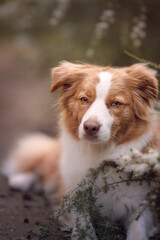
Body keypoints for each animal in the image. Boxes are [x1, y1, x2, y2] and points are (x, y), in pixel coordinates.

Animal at [1, 62, 160, 240]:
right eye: (84, 99)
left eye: (116, 103)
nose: (90, 127)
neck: (99, 155)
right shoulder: (72, 195)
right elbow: (81, 216)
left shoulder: (143, 206)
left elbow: (137, 227)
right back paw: (20, 180)